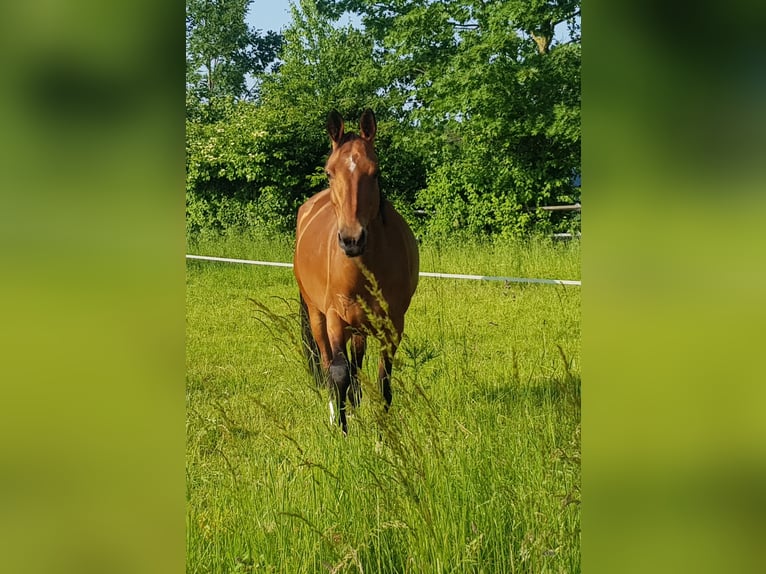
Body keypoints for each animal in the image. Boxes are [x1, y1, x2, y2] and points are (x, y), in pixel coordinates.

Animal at [296, 110, 424, 434]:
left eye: (375, 172)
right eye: (329, 172)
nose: (352, 239)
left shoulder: (392, 325)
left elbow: (383, 381)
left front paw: (382, 434)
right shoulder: (334, 318)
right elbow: (339, 371)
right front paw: (342, 431)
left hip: (360, 326)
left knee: (356, 362)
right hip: (317, 315)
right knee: (328, 363)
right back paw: (337, 412)